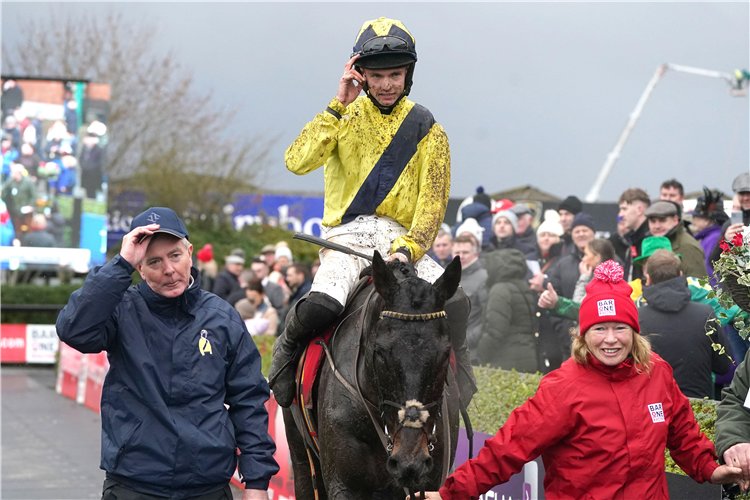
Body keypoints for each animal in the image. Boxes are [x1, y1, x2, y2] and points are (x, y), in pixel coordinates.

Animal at [284, 252, 464, 498]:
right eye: (379, 352)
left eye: (446, 354)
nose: (409, 460)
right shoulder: (344, 485)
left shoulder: (430, 481)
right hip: (301, 454)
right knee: (318, 306)